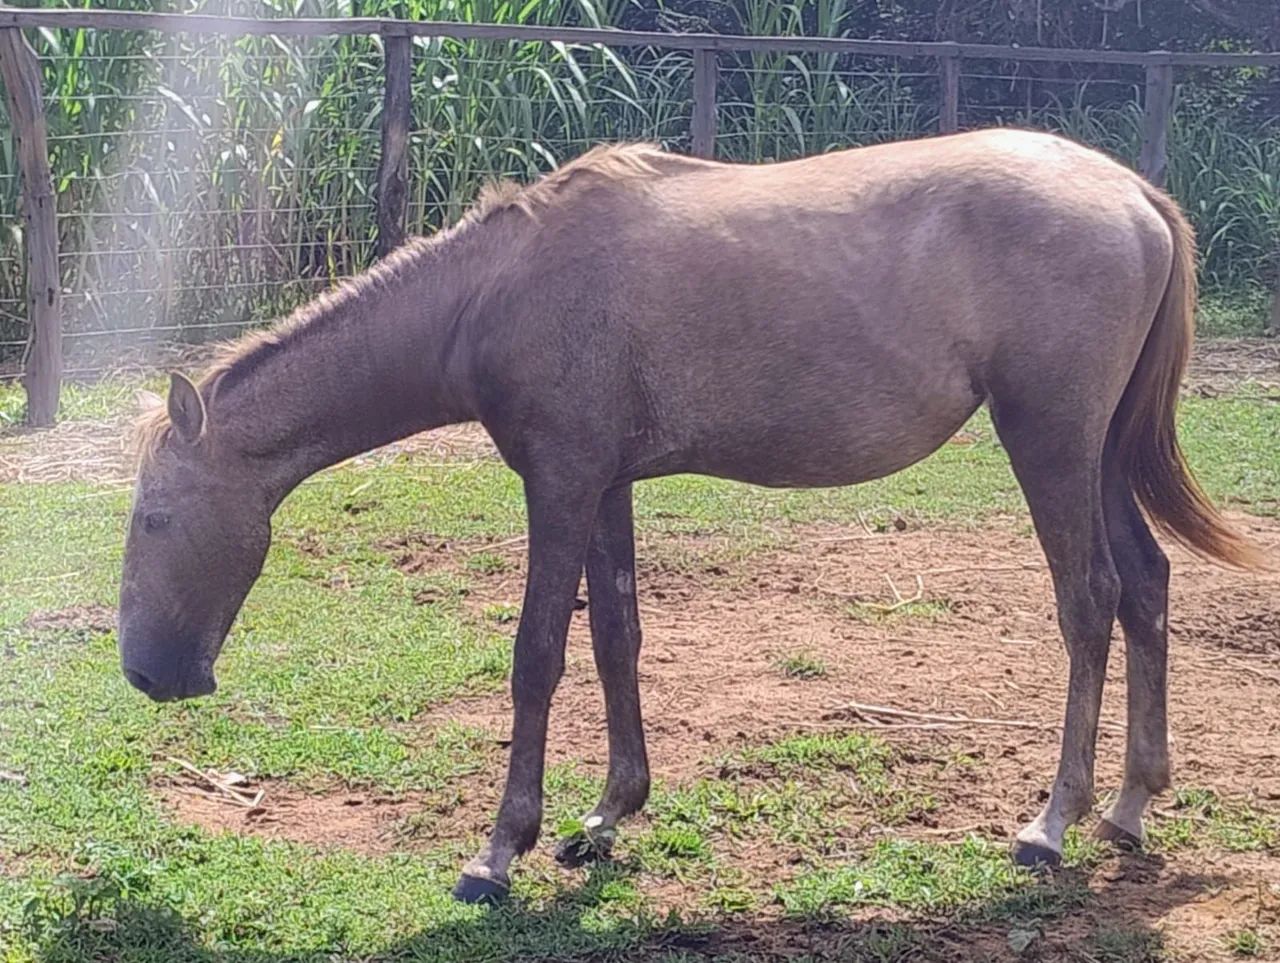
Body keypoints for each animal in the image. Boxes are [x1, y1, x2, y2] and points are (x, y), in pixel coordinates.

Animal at [119, 128, 1262, 903]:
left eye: (155, 519)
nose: (149, 675)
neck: (494, 293)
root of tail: (1130, 194)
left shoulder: (559, 481)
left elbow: (538, 654)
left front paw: (500, 848)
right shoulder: (604, 484)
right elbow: (617, 636)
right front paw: (606, 814)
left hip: (1050, 440)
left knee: (1089, 599)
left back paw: (1054, 820)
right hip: (1096, 451)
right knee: (1147, 585)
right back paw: (1130, 804)